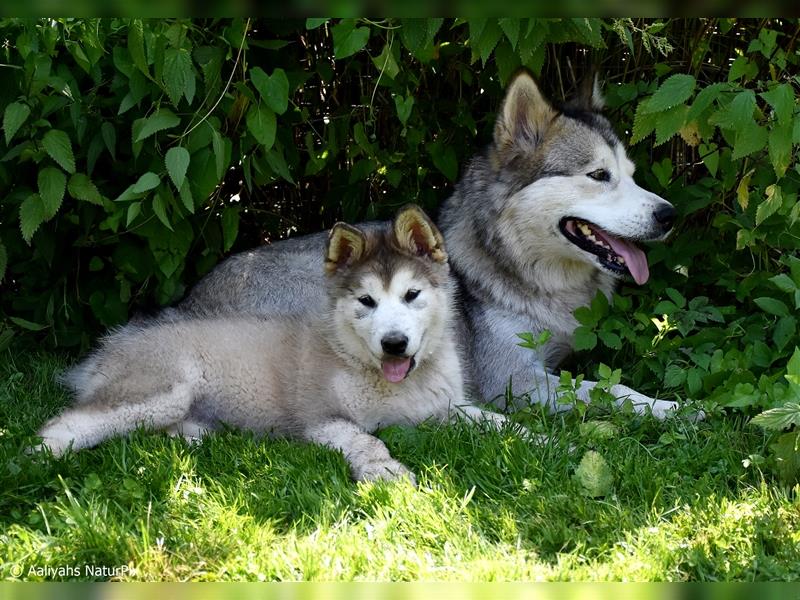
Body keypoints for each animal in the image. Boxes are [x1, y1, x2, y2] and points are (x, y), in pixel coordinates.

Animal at [37, 206, 510, 482]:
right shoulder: (322, 419)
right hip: (158, 391)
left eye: (412, 295)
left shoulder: (450, 407)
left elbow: (500, 421)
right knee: (66, 423)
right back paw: (38, 460)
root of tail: (111, 346)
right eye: (366, 301)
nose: (394, 344)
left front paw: (529, 440)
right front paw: (386, 471)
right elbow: (368, 441)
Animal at [178, 70, 684, 418]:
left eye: (632, 175)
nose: (668, 215)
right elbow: (611, 390)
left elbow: (609, 383)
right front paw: (679, 409)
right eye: (599, 175)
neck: (512, 265)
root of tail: (185, 309)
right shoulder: (513, 381)